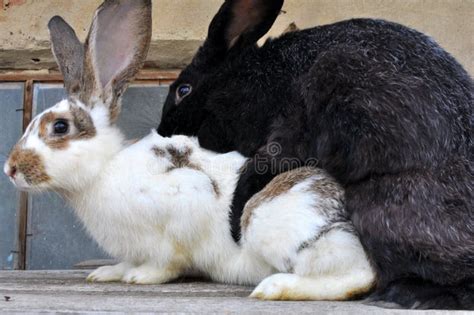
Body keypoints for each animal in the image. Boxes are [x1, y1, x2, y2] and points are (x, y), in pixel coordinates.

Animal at [3, 0, 374, 302]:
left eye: (59, 127)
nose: (10, 169)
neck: (103, 170)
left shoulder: (186, 198)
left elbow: (168, 260)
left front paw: (140, 277)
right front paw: (108, 273)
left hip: (273, 221)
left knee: (358, 278)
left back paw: (276, 288)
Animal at [157, 0, 472, 312]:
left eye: (184, 90)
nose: (162, 131)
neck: (257, 79)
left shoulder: (291, 132)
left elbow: (260, 168)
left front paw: (235, 222)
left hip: (380, 211)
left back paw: (408, 296)